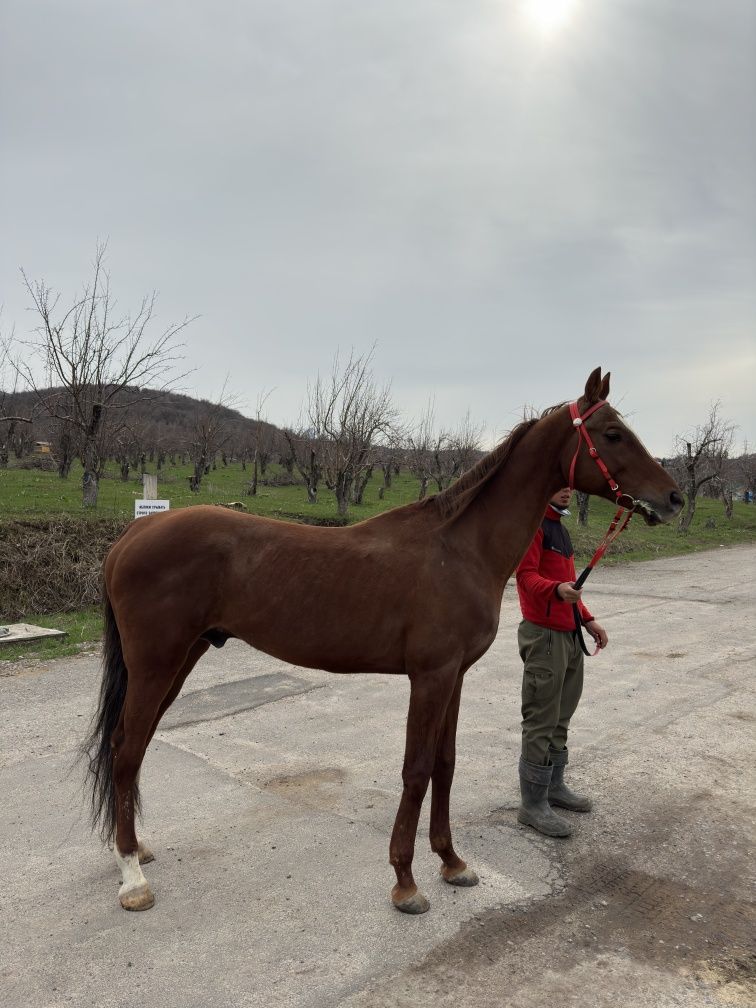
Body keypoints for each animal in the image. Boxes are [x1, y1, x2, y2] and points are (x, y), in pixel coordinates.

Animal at [84, 370, 685, 915]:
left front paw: (452, 862)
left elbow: (445, 764)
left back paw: (134, 851)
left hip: (179, 661)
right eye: (612, 433)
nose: (675, 498)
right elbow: (416, 770)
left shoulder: (455, 677)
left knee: (132, 750)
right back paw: (133, 877)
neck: (460, 550)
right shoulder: (430, 677)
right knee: (125, 749)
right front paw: (406, 881)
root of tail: (132, 534)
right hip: (158, 664)